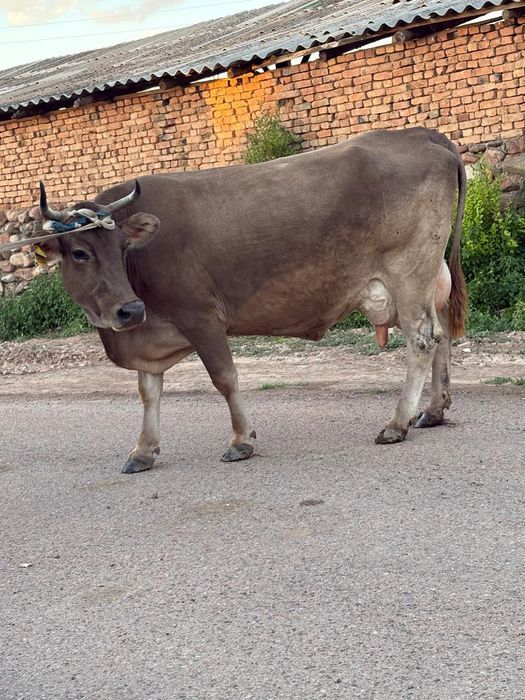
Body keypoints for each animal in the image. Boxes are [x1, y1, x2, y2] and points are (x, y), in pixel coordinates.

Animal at [37, 127, 467, 473]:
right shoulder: (148, 333)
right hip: (429, 277)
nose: (130, 309)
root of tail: (418, 134)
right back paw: (433, 410)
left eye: (122, 247)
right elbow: (148, 392)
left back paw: (397, 423)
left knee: (422, 340)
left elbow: (224, 378)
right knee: (442, 334)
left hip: (408, 271)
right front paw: (143, 451)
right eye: (80, 252)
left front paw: (241, 440)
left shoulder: (201, 317)